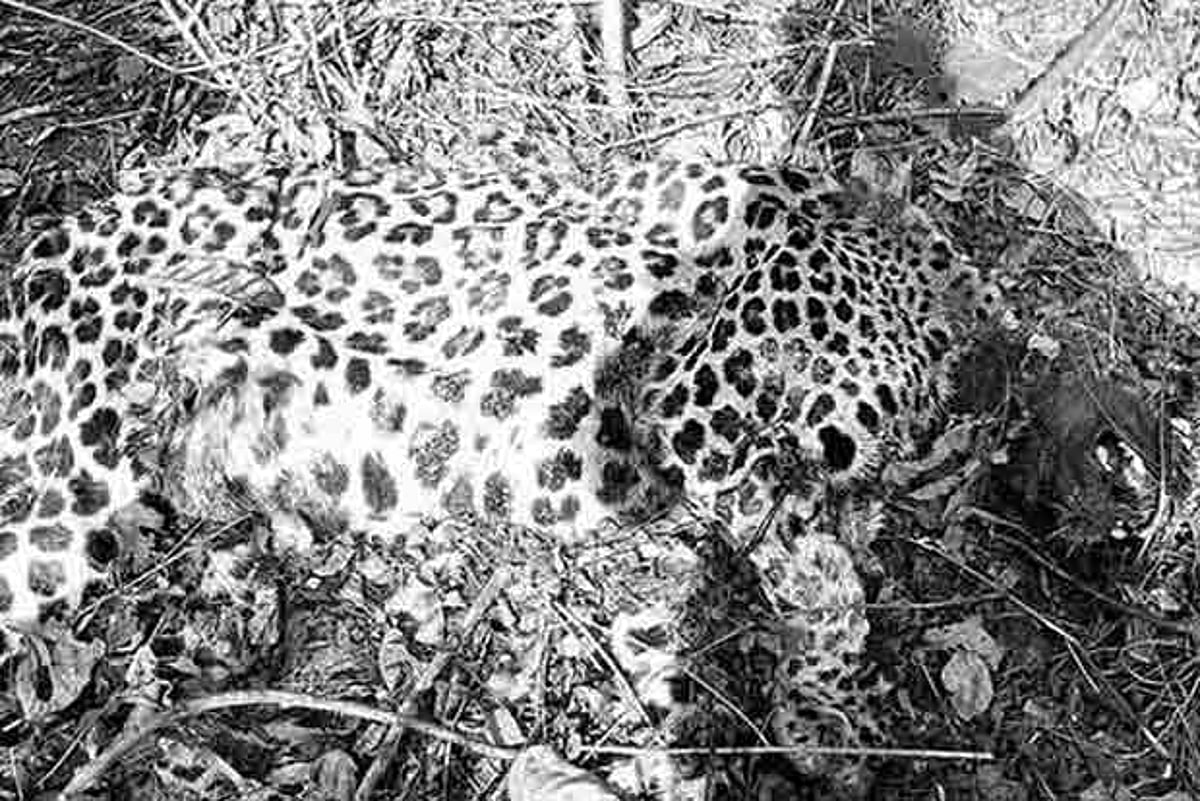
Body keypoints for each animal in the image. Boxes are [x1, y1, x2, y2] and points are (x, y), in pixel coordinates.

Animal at [0, 145, 997, 789]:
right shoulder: (697, 403)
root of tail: (51, 232)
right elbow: (827, 575)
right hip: (66, 466)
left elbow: (815, 555)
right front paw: (824, 713)